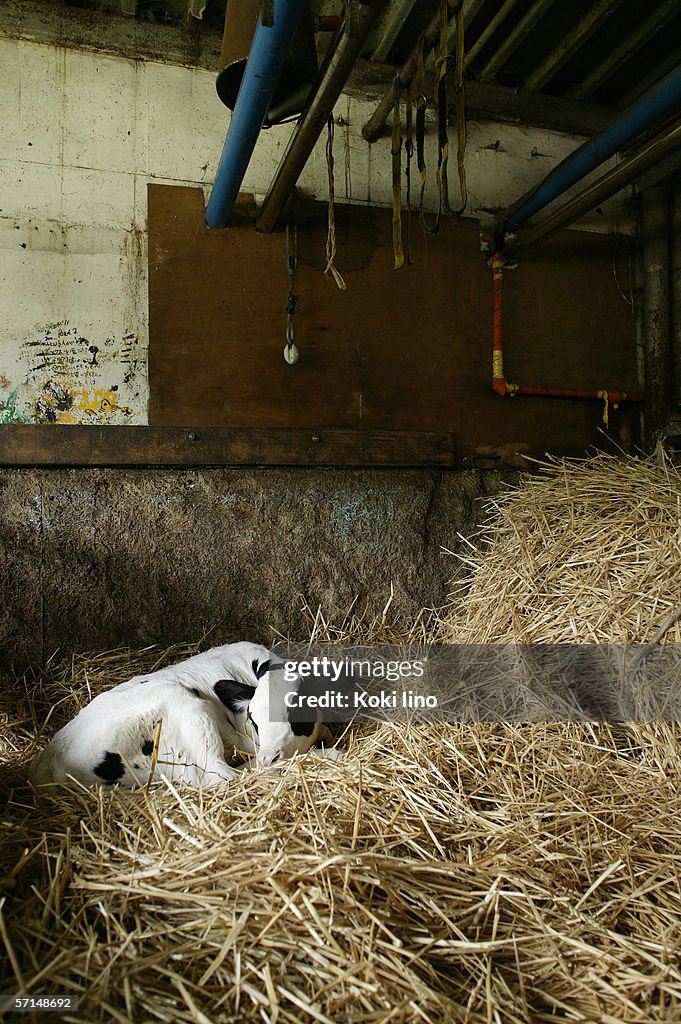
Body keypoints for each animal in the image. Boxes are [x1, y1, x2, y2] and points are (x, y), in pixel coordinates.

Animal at [27, 638, 329, 790]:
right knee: (222, 776)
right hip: (186, 709)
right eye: (254, 720)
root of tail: (48, 762)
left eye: (296, 712)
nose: (269, 758)